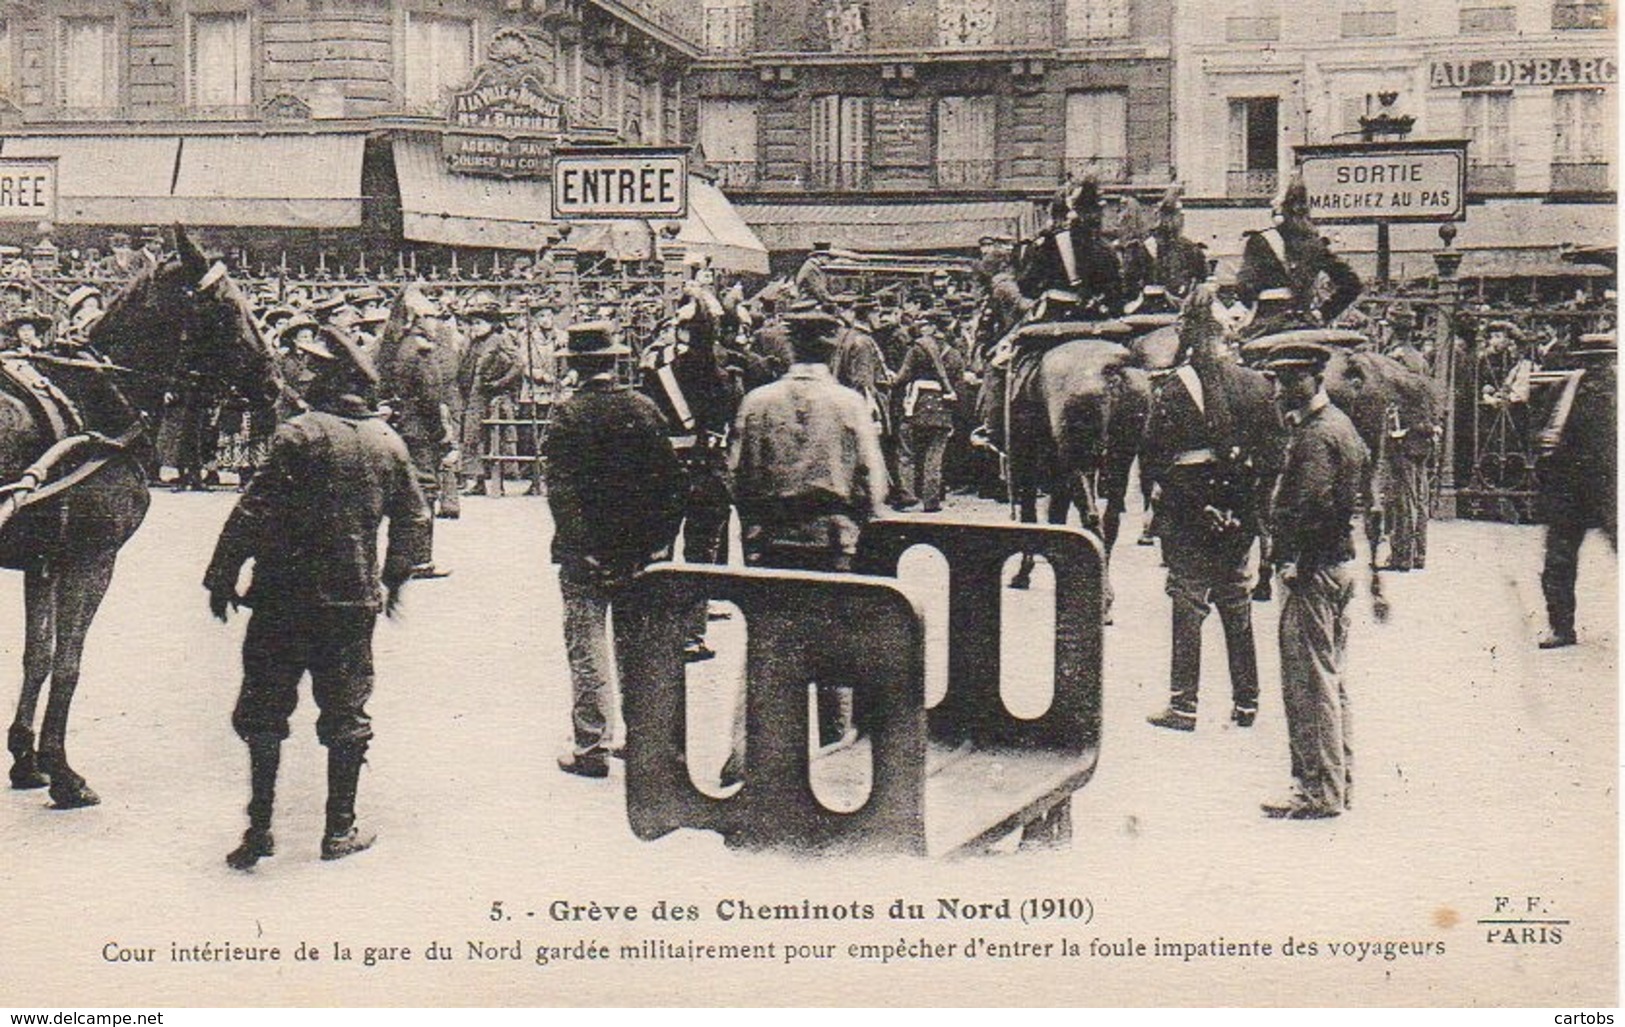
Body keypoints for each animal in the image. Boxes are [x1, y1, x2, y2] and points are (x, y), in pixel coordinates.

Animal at [4, 225, 279, 809]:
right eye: (226, 306)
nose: (272, 383)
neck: (98, 396)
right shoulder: (90, 559)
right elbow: (68, 663)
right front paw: (62, 771)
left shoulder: (44, 561)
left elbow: (38, 656)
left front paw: (25, 758)